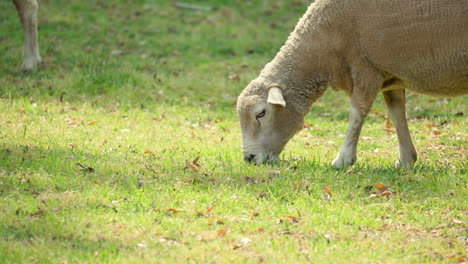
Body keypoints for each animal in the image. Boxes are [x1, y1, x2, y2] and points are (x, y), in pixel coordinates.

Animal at [238, 0, 468, 168]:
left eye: (261, 113)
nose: (249, 158)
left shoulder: (365, 68)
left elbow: (357, 113)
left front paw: (343, 160)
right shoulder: (389, 75)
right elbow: (397, 114)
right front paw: (406, 160)